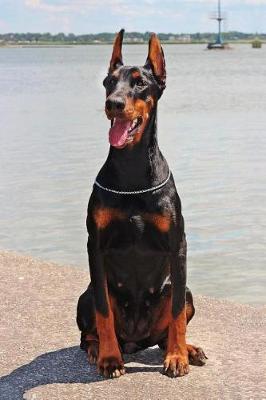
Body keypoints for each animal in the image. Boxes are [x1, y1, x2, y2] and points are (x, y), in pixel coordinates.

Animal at [76, 28, 207, 378]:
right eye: (109, 81)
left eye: (139, 83)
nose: (113, 103)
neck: (132, 170)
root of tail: (136, 341)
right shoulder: (95, 246)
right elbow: (104, 313)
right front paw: (110, 358)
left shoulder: (177, 244)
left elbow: (176, 314)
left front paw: (177, 357)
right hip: (86, 294)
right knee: (87, 331)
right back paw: (99, 349)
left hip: (183, 290)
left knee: (166, 327)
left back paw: (187, 349)